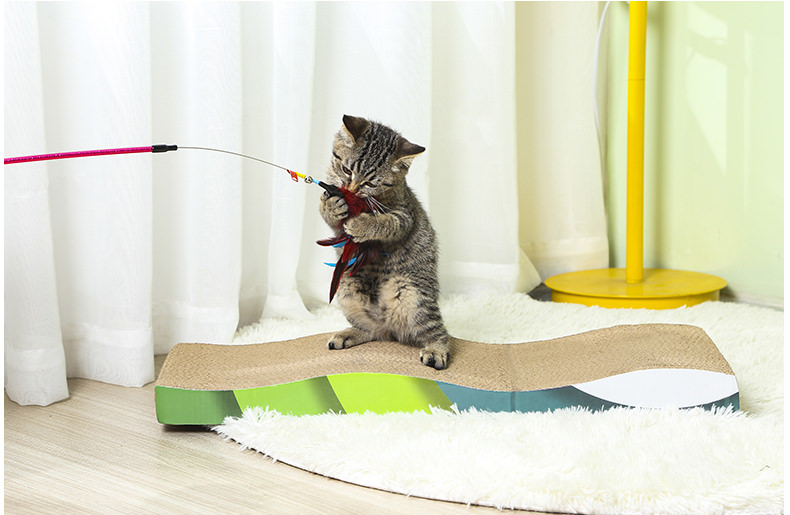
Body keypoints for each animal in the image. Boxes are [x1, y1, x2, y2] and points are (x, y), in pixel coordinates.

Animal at [318, 115, 452, 368]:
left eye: (370, 183)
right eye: (347, 170)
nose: (350, 190)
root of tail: (390, 326)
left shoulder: (404, 216)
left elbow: (387, 223)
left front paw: (363, 224)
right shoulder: (335, 225)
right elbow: (328, 214)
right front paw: (332, 205)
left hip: (412, 294)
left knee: (438, 332)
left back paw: (436, 351)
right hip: (347, 288)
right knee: (372, 331)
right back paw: (348, 334)